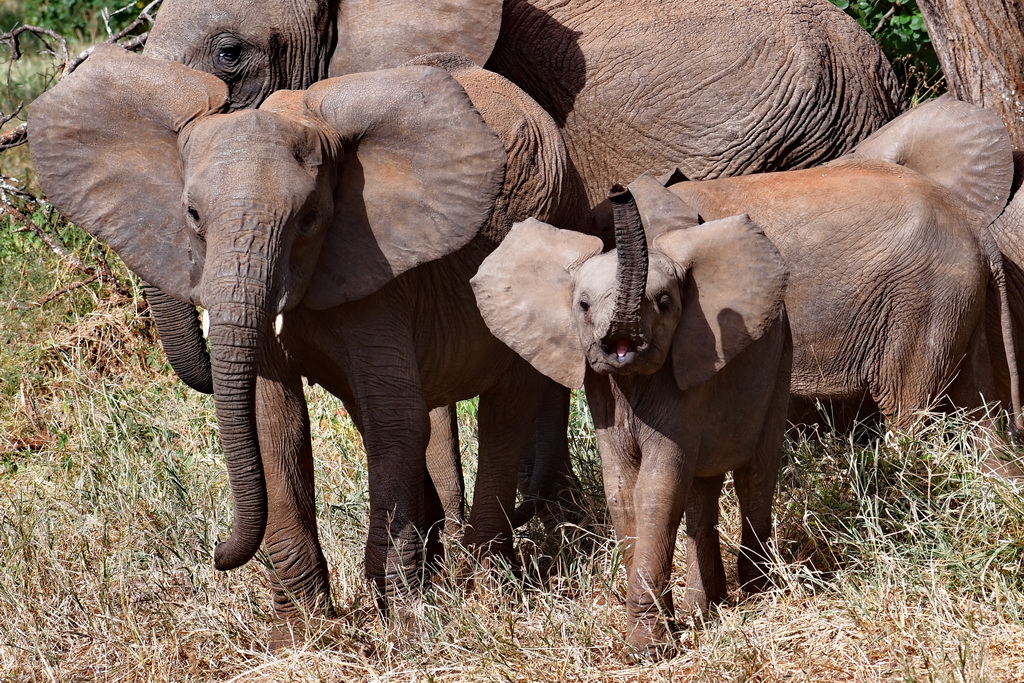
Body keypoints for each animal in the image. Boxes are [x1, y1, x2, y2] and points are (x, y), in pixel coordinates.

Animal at [25, 45, 585, 618]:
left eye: (311, 218)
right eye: (193, 215)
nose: (217, 552)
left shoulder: (380, 266)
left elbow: (396, 421)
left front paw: (394, 618)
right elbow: (275, 423)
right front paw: (305, 628)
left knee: (505, 407)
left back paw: (487, 589)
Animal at [471, 185, 790, 655]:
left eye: (665, 303)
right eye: (583, 305)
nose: (619, 191)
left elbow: (657, 489)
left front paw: (647, 650)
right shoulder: (602, 389)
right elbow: (622, 489)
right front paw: (659, 634)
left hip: (782, 359)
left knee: (755, 474)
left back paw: (756, 593)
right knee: (702, 491)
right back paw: (705, 608)